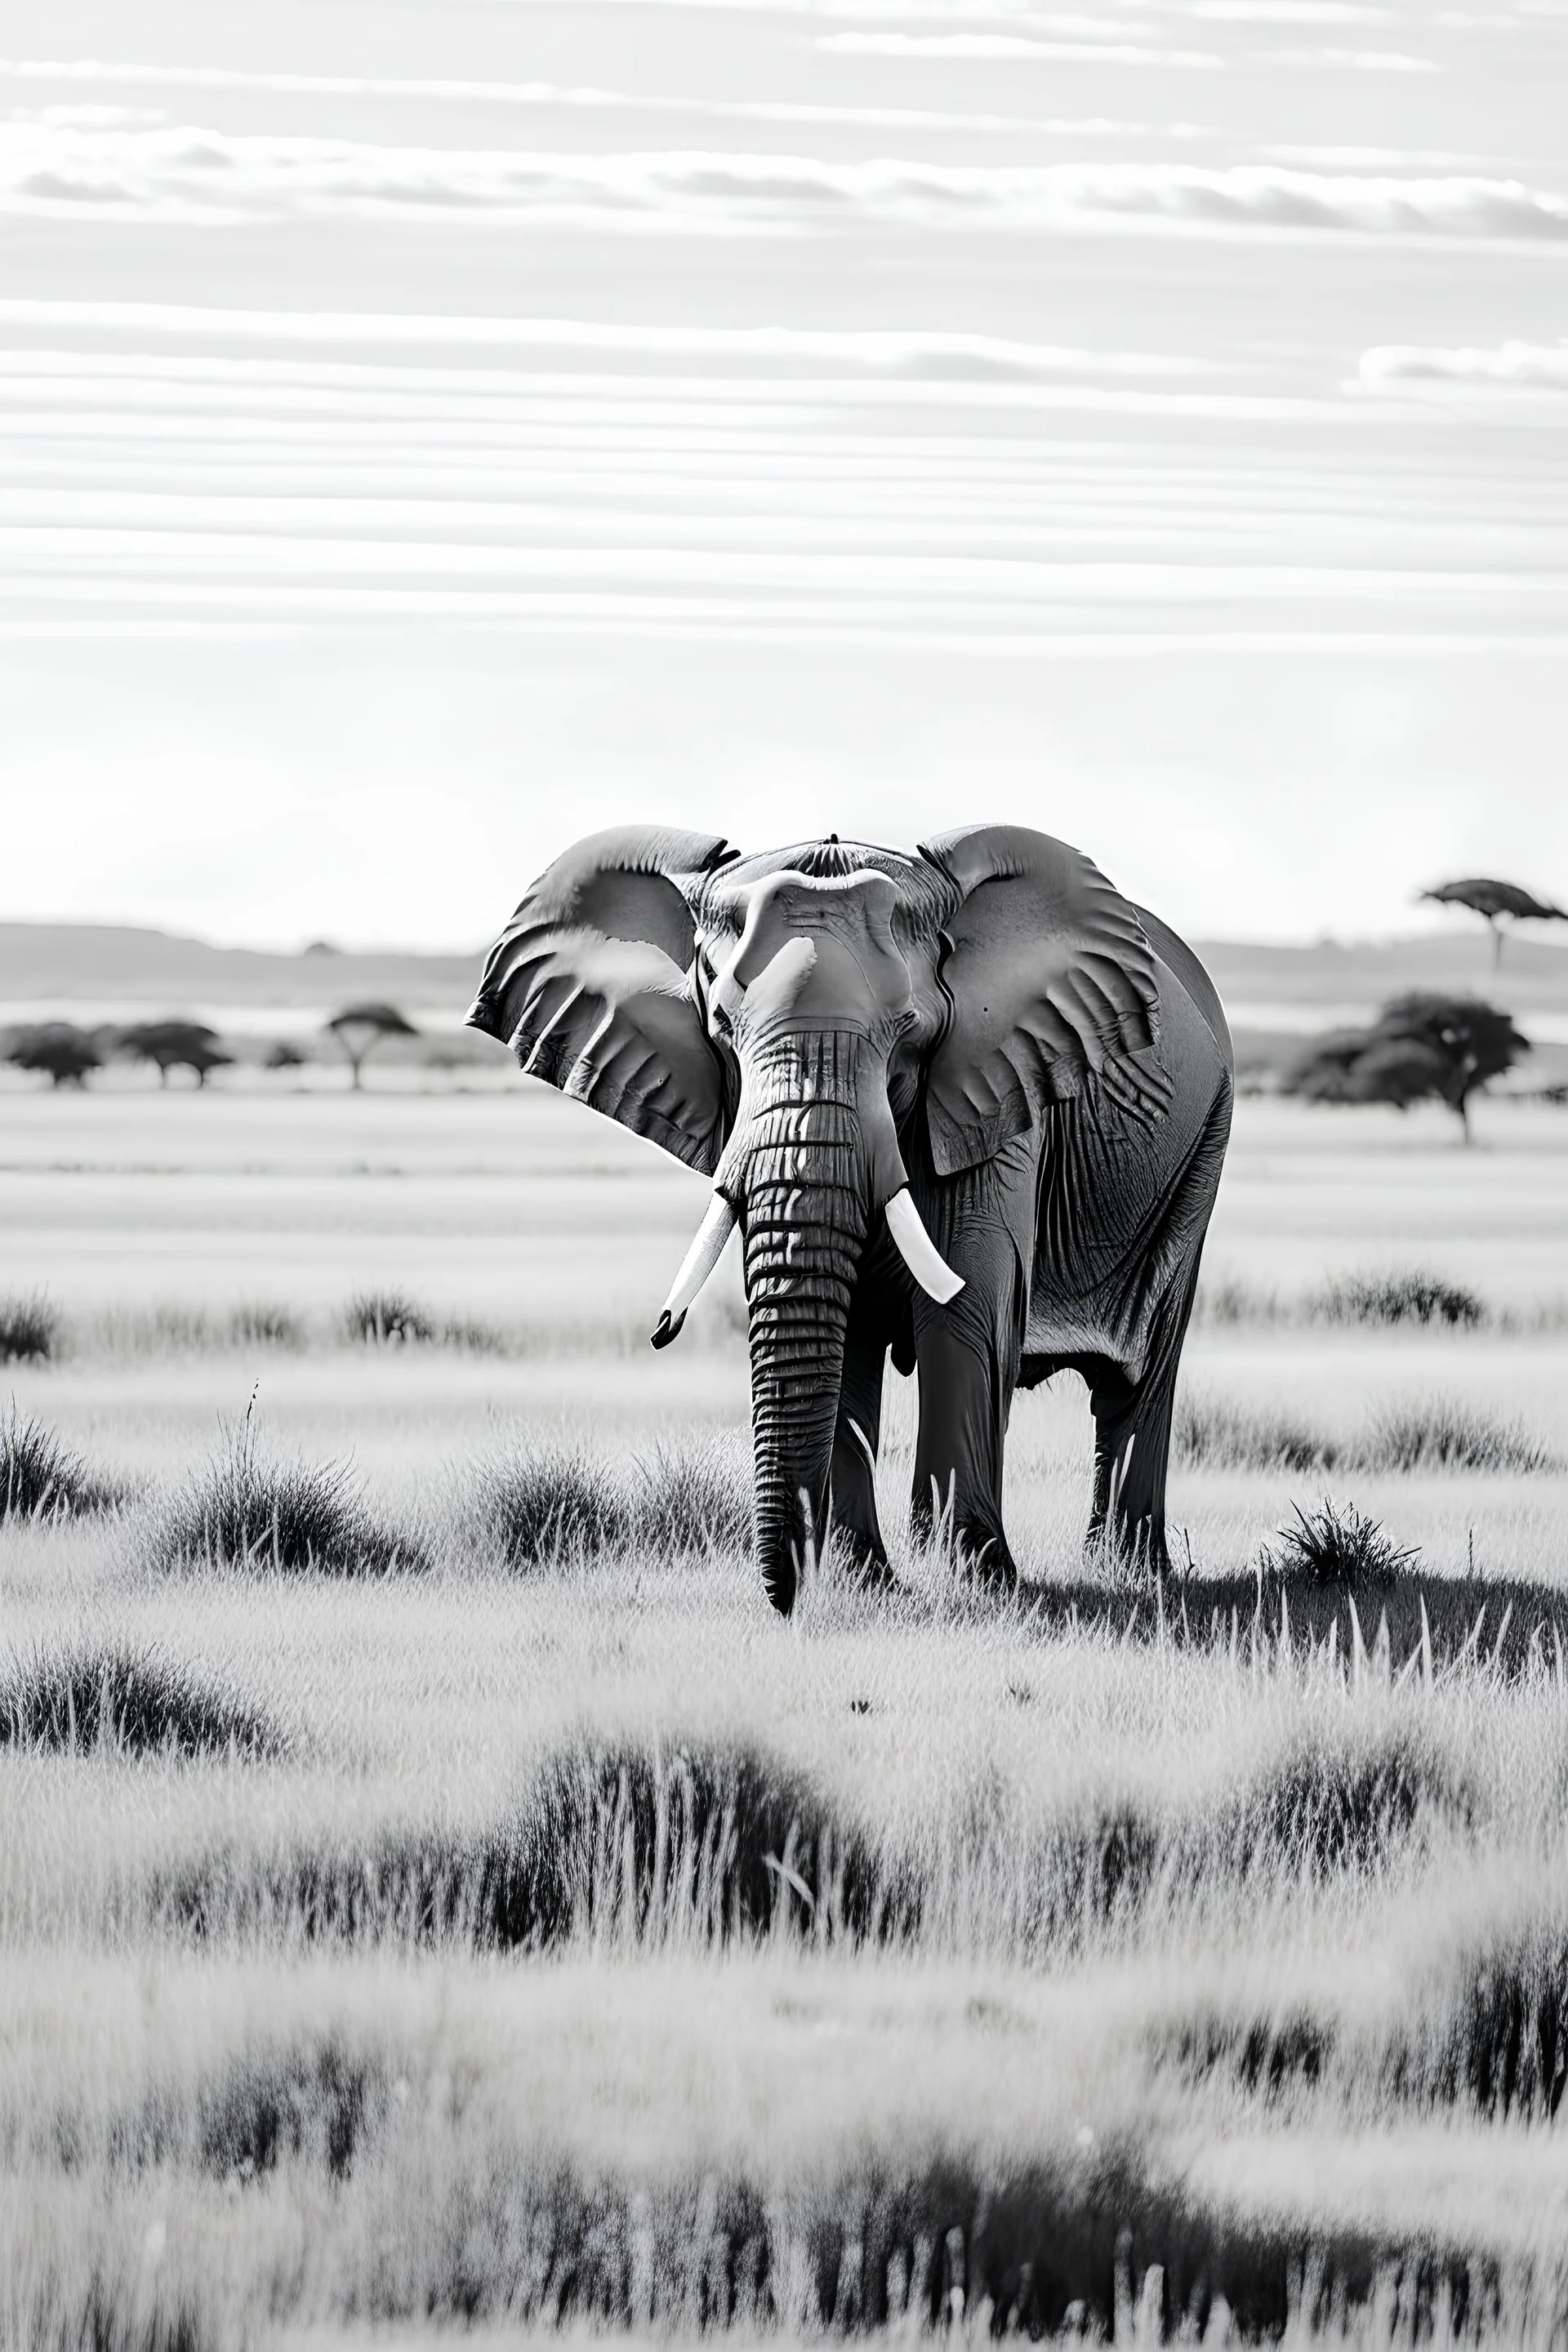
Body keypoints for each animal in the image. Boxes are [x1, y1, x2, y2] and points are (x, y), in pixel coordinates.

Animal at [472, 827, 1232, 1618]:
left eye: (910, 1036)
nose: (782, 1601)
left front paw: (977, 1583)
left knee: (1141, 1372)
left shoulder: (998, 1087)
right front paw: (864, 1582)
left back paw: (1132, 1572)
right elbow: (843, 1328)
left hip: (1203, 1148)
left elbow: (967, 1308)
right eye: (721, 1031)